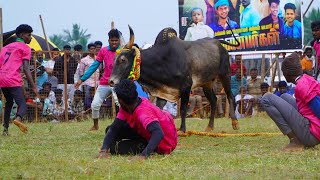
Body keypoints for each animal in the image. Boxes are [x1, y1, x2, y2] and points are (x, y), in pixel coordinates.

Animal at [109, 26, 239, 134]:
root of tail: (218, 42)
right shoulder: (163, 90)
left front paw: (182, 129)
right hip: (207, 83)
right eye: (114, 59)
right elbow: (159, 109)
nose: (111, 81)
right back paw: (209, 127)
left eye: (123, 60)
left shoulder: (186, 86)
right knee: (213, 100)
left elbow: (182, 109)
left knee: (230, 96)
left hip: (225, 74)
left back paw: (234, 122)